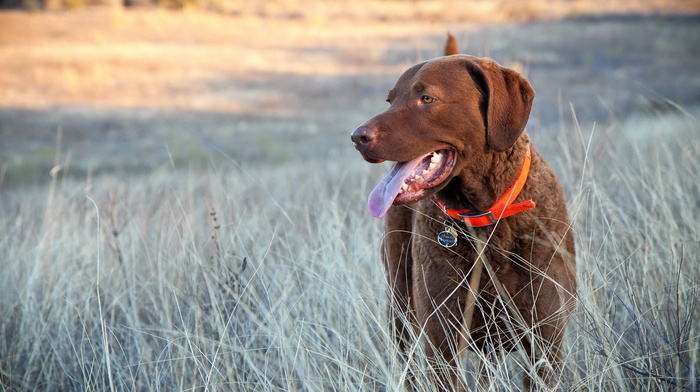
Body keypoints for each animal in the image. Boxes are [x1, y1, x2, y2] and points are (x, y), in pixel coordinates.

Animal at [352, 37, 576, 392]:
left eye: (426, 98)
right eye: (390, 100)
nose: (357, 137)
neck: (484, 218)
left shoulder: (545, 344)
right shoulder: (442, 345)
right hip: (400, 303)